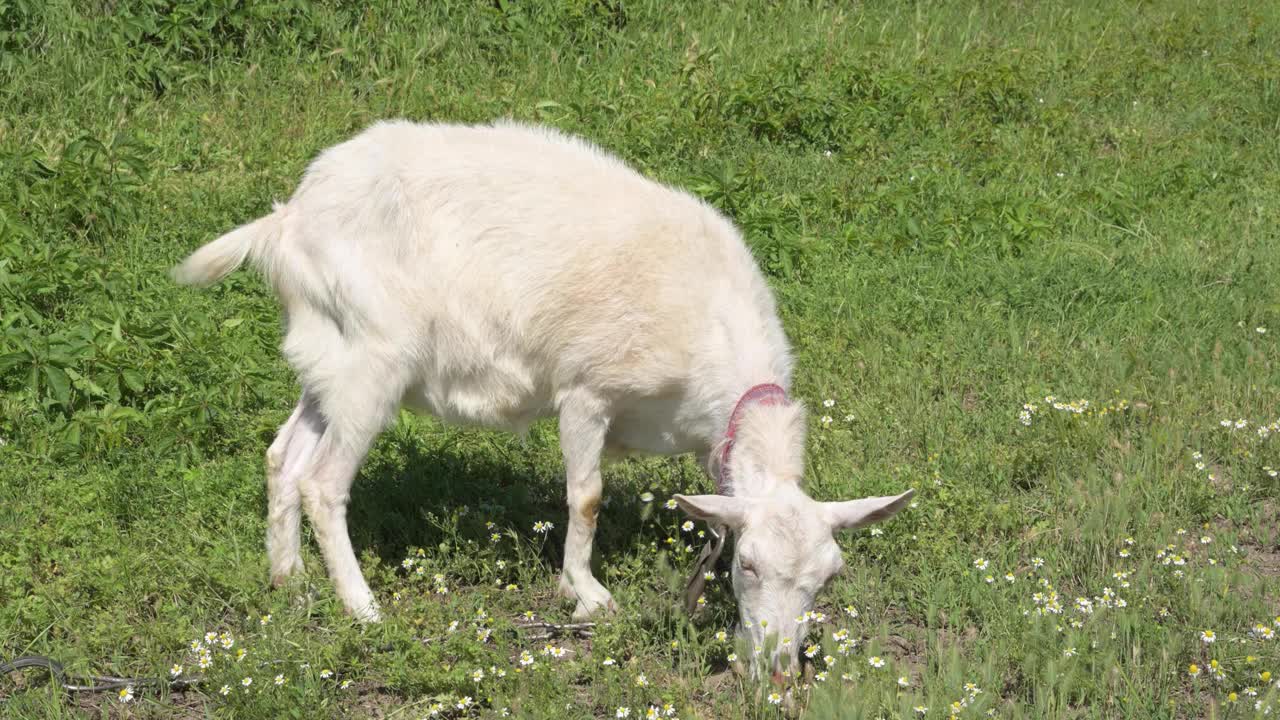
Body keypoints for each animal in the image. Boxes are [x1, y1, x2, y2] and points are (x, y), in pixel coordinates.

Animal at [172, 120, 911, 671]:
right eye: (749, 567)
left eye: (829, 576)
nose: (776, 665)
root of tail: (286, 221)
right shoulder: (586, 389)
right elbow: (585, 498)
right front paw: (585, 594)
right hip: (372, 360)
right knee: (323, 482)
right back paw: (362, 607)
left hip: (328, 357)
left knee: (284, 456)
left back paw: (289, 581)